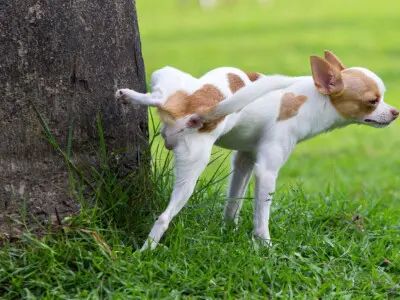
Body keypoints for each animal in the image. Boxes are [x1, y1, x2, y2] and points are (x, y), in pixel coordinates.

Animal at [115, 50, 396, 250]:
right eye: (373, 101)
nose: (395, 112)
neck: (312, 99)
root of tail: (199, 110)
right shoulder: (267, 171)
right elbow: (262, 216)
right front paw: (265, 247)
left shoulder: (244, 161)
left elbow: (233, 202)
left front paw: (228, 230)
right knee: (164, 217)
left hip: (170, 90)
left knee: (159, 97)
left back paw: (129, 95)